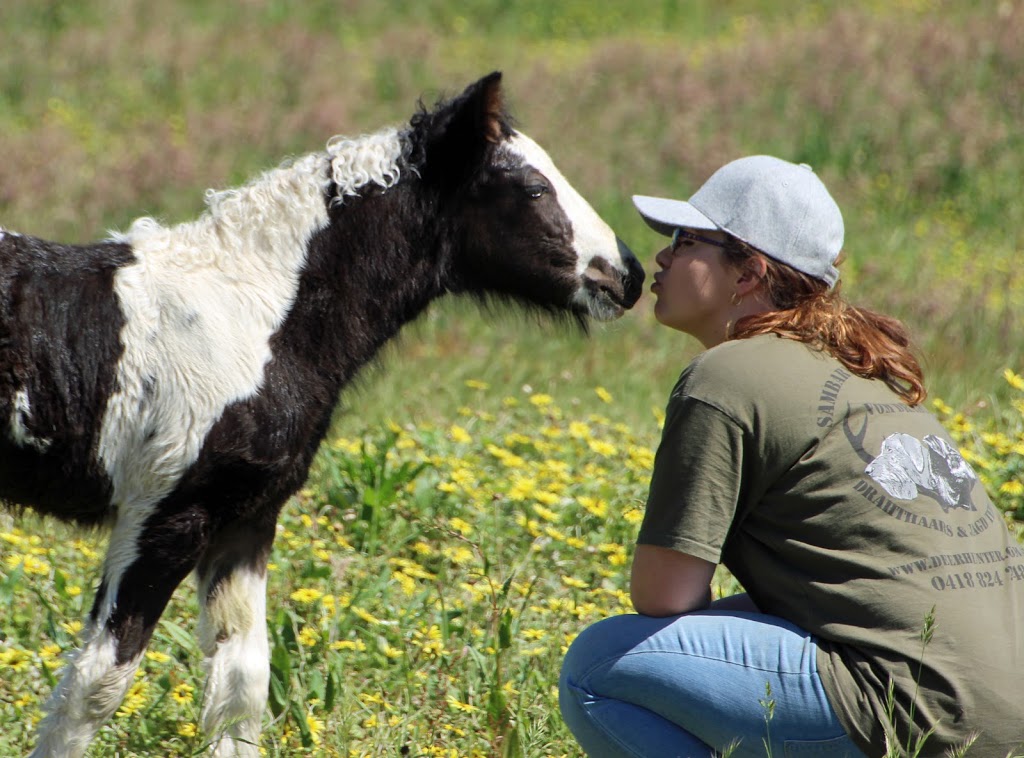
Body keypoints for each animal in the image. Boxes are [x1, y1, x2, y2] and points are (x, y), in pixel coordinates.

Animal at [0, 72, 643, 758]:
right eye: (533, 188)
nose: (627, 276)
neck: (253, 319)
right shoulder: (164, 513)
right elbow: (97, 683)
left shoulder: (247, 517)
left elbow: (241, 683)